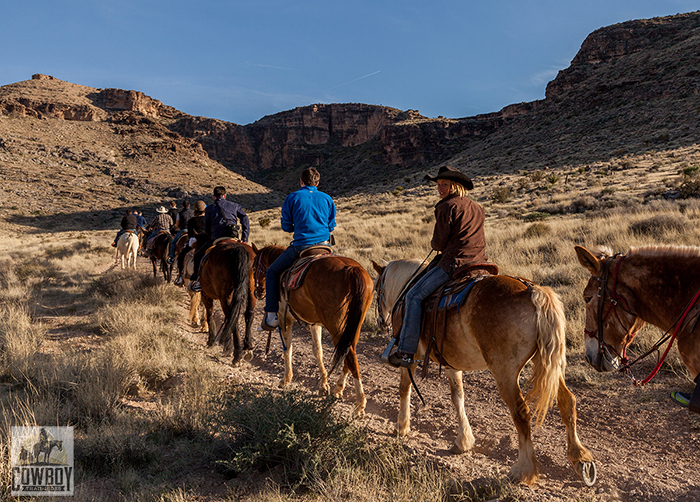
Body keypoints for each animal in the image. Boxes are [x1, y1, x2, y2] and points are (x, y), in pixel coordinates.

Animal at [252, 245, 372, 418]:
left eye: (254, 267)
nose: (258, 292)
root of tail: (352, 270)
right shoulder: (314, 324)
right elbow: (318, 351)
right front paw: (323, 386)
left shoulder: (284, 319)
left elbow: (287, 349)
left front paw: (285, 380)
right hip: (354, 324)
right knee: (349, 352)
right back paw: (339, 388)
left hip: (336, 325)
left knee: (350, 355)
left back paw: (360, 404)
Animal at [372, 258, 596, 486]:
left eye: (376, 289)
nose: (381, 321)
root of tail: (533, 291)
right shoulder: (452, 364)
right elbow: (458, 397)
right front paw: (463, 441)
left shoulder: (410, 356)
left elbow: (404, 388)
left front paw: (401, 426)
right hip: (550, 363)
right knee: (567, 402)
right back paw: (581, 459)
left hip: (505, 372)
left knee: (521, 412)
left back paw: (524, 470)